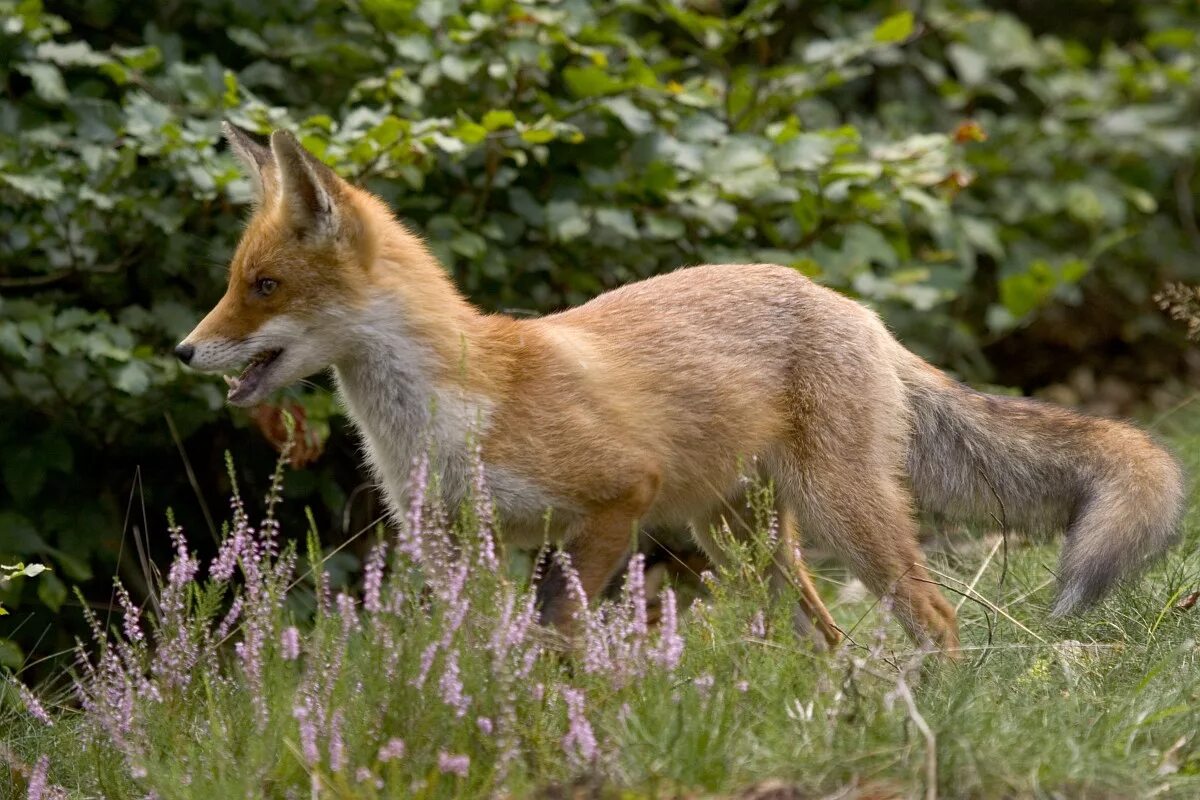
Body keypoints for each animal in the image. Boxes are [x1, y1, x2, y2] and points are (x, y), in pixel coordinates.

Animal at [174, 123, 1185, 652]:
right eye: (233, 280)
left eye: (264, 287)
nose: (184, 352)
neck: (450, 415)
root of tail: (849, 303)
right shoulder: (459, 544)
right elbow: (488, 647)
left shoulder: (618, 498)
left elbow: (557, 637)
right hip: (741, 538)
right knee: (822, 636)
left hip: (839, 512)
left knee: (932, 616)